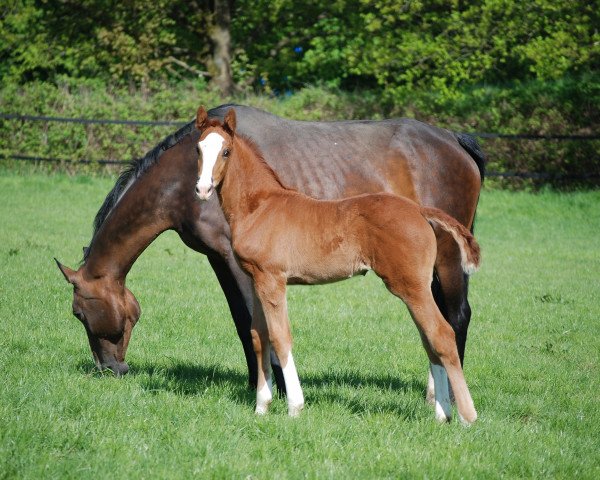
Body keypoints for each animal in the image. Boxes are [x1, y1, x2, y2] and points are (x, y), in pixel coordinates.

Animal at [195, 108, 480, 424]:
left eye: (226, 151)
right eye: (198, 149)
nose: (203, 188)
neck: (259, 206)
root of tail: (419, 210)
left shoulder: (273, 280)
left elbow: (281, 337)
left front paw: (294, 407)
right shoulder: (257, 279)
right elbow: (260, 337)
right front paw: (261, 407)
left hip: (410, 285)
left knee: (442, 334)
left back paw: (466, 416)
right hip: (418, 287)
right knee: (429, 339)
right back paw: (442, 413)